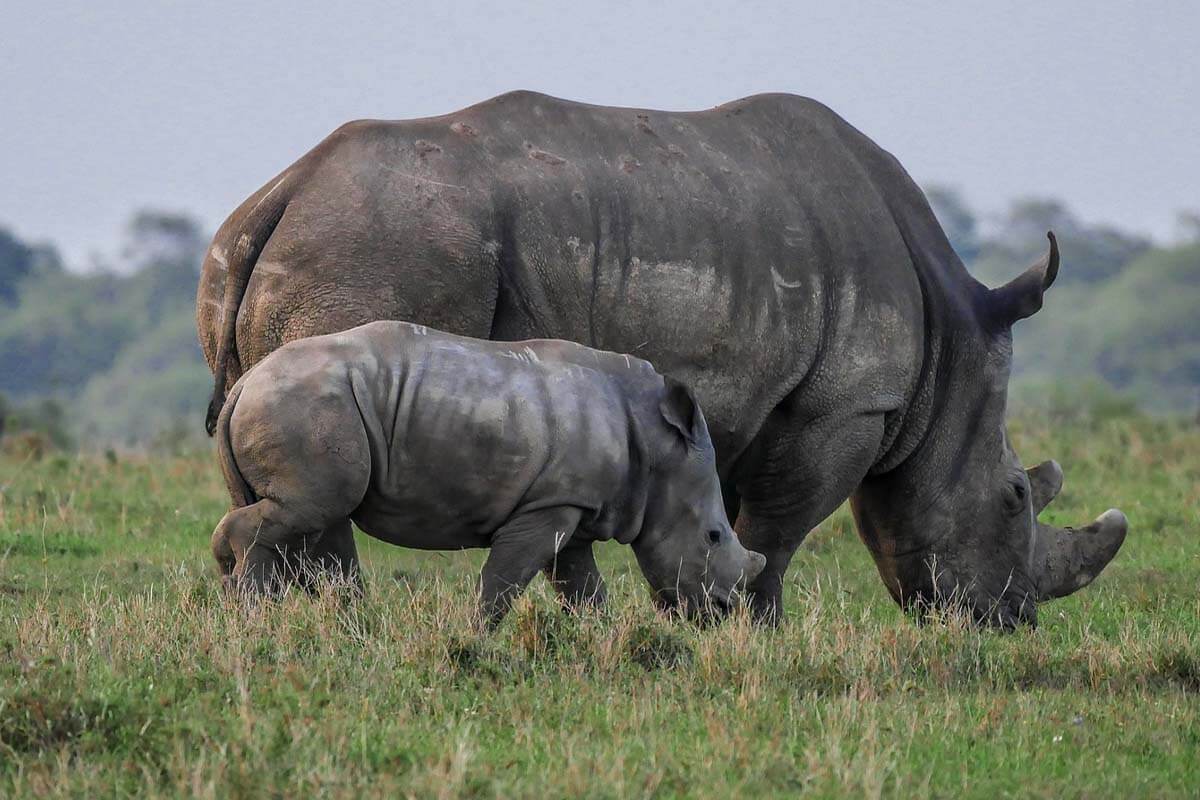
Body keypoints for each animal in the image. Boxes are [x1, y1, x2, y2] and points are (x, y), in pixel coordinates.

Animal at [210, 319, 763, 623]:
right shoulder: (548, 506)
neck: (656, 446)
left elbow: (582, 588)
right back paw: (255, 614)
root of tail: (245, 383)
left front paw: (604, 640)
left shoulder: (571, 504)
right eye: (714, 536)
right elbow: (504, 579)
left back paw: (251, 602)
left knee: (302, 520)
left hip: (297, 403)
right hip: (306, 404)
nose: (721, 613)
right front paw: (474, 638)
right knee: (313, 509)